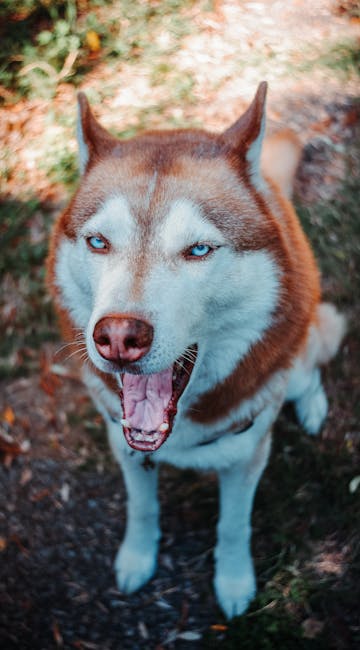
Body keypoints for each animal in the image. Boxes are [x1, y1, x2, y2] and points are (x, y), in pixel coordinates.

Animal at [46, 83, 344, 616]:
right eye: (98, 242)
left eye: (199, 250)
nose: (118, 337)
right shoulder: (127, 451)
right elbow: (142, 508)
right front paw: (137, 557)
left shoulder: (247, 457)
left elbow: (233, 526)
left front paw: (234, 581)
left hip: (302, 346)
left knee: (310, 367)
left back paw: (312, 406)